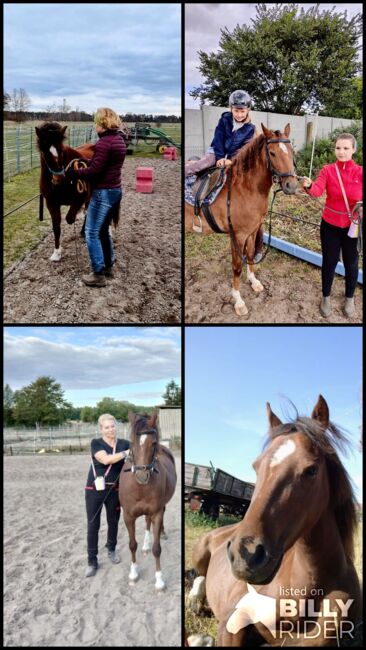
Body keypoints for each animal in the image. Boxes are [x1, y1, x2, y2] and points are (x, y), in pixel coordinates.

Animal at [35, 120, 96, 262]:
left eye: (61, 150)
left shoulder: (79, 198)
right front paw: (57, 253)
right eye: (45, 152)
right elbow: (56, 227)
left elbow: (70, 218)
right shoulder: (51, 204)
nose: (59, 178)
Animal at [119, 412, 177, 588]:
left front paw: (159, 580)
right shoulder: (128, 516)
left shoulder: (156, 512)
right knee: (146, 522)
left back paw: (162, 533)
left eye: (154, 443)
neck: (139, 488)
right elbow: (132, 545)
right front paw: (133, 573)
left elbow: (157, 549)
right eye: (131, 442)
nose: (142, 475)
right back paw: (145, 545)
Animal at [184, 124, 298, 316]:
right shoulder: (237, 236)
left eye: (291, 151)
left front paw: (253, 281)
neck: (245, 188)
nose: (291, 185)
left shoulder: (252, 232)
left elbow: (250, 256)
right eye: (272, 153)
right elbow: (237, 266)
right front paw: (238, 301)